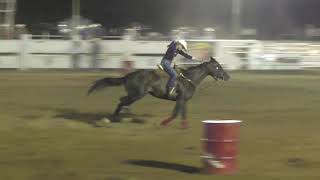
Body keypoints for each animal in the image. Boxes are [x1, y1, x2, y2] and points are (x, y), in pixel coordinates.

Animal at [86, 57, 229, 129]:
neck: (189, 78)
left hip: (135, 95)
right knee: (121, 101)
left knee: (123, 101)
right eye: (218, 66)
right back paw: (113, 118)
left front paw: (185, 126)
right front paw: (163, 123)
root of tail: (128, 76)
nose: (227, 76)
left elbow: (183, 113)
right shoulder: (179, 99)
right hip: (136, 94)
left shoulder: (183, 100)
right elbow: (175, 113)